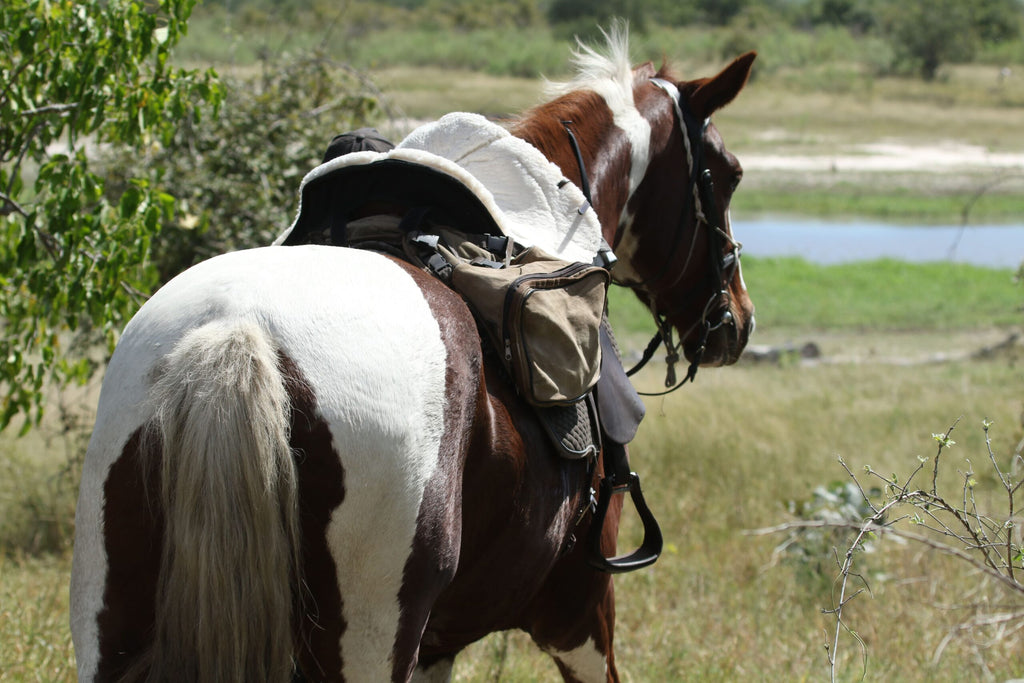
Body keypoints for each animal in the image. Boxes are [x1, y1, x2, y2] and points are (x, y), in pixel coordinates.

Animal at [70, 29, 756, 683]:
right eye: (727, 174)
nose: (737, 320)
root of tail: (238, 334)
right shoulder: (581, 614)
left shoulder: (441, 643)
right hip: (375, 639)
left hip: (112, 628)